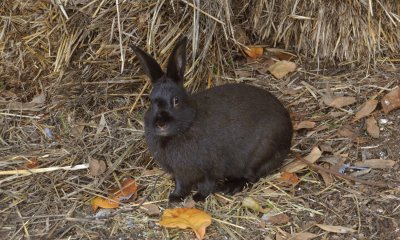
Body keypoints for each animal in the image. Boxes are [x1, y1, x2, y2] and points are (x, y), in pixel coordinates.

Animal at [130, 37, 290, 202]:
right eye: (150, 101)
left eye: (176, 101)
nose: (161, 124)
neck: (188, 123)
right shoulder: (180, 173)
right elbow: (181, 185)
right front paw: (175, 197)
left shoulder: (209, 169)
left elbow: (206, 185)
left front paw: (198, 197)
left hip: (260, 153)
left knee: (251, 176)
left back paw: (231, 186)